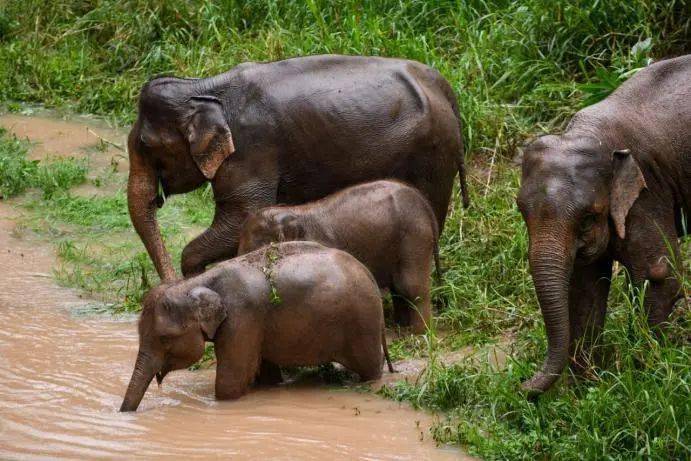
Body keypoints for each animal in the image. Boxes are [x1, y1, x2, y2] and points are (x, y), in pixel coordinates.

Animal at [120, 239, 394, 412]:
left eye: (164, 338)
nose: (124, 413)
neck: (197, 282)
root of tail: (366, 271)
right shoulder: (256, 325)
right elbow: (267, 375)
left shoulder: (242, 319)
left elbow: (230, 384)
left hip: (363, 322)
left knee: (370, 368)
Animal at [125, 55, 470, 282]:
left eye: (144, 144)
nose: (170, 283)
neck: (203, 86)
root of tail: (445, 87)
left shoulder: (252, 151)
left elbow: (239, 220)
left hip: (433, 153)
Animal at [238, 178, 440, 332]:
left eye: (254, 249)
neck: (294, 211)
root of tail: (426, 205)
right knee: (397, 287)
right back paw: (402, 329)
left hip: (414, 235)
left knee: (410, 286)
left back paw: (419, 334)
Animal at [520, 53, 691, 392]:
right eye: (521, 211)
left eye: (588, 218)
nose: (523, 387)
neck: (590, 134)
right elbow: (585, 288)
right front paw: (586, 389)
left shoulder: (647, 192)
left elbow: (660, 274)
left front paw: (648, 375)